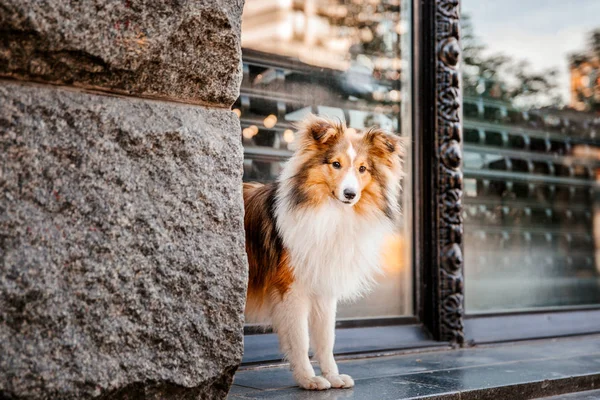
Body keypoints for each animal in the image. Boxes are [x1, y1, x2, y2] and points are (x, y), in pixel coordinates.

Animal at [243, 114, 404, 390]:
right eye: (336, 164)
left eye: (363, 169)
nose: (350, 194)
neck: (330, 213)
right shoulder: (292, 289)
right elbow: (300, 339)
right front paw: (308, 379)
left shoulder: (324, 288)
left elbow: (326, 338)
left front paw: (333, 376)